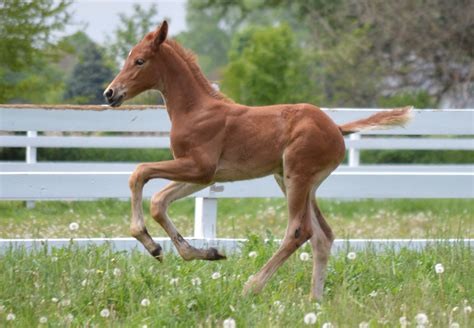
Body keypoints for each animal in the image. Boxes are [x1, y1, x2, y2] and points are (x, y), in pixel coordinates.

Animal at [103, 21, 412, 300]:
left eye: (139, 60)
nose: (110, 93)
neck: (195, 110)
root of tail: (336, 128)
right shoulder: (204, 177)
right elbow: (159, 202)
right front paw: (196, 252)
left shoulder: (199, 168)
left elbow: (140, 173)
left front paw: (150, 242)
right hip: (294, 181)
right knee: (323, 235)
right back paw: (315, 300)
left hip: (297, 176)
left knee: (299, 231)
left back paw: (252, 286)